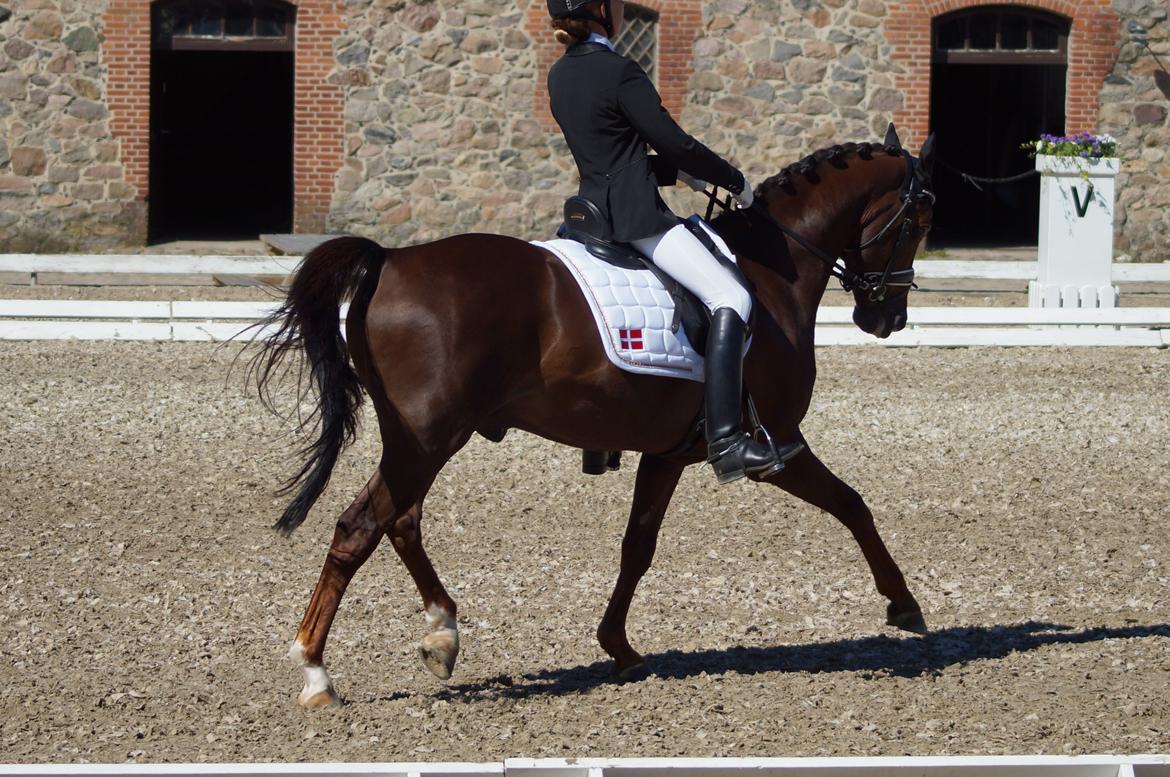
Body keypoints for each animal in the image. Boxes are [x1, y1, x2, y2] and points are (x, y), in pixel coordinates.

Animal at [251, 125, 937, 708]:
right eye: (919, 219)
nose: (887, 318)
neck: (771, 271)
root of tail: (390, 260)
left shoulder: (668, 453)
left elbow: (638, 547)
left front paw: (620, 649)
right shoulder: (780, 444)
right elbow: (852, 504)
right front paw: (905, 607)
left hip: (418, 440)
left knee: (398, 522)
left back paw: (440, 635)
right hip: (426, 439)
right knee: (361, 527)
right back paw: (317, 674)